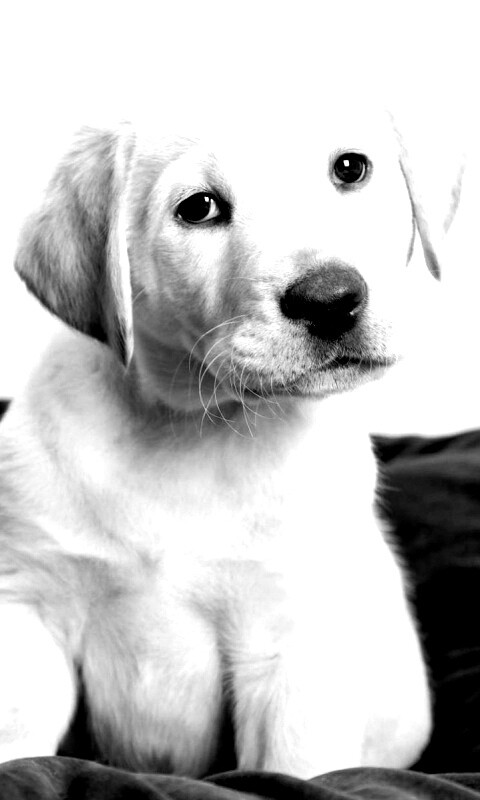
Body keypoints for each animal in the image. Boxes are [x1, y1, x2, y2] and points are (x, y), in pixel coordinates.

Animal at [0, 105, 460, 778]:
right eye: (200, 207)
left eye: (351, 168)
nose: (331, 300)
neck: (194, 427)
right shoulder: (29, 613)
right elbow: (17, 746)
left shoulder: (292, 647)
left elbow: (291, 771)